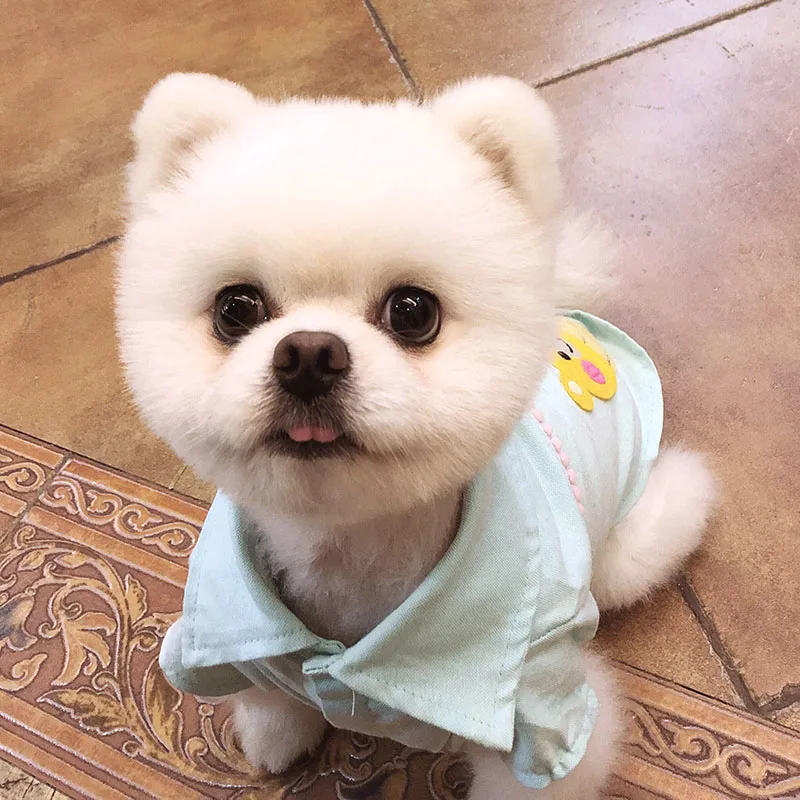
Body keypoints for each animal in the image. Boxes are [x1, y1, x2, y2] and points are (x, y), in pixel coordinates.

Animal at [116, 73, 718, 799]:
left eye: (412, 312)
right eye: (235, 309)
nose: (310, 354)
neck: (348, 564)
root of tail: (575, 317)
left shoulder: (548, 722)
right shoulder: (220, 638)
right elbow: (264, 691)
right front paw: (278, 730)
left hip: (628, 550)